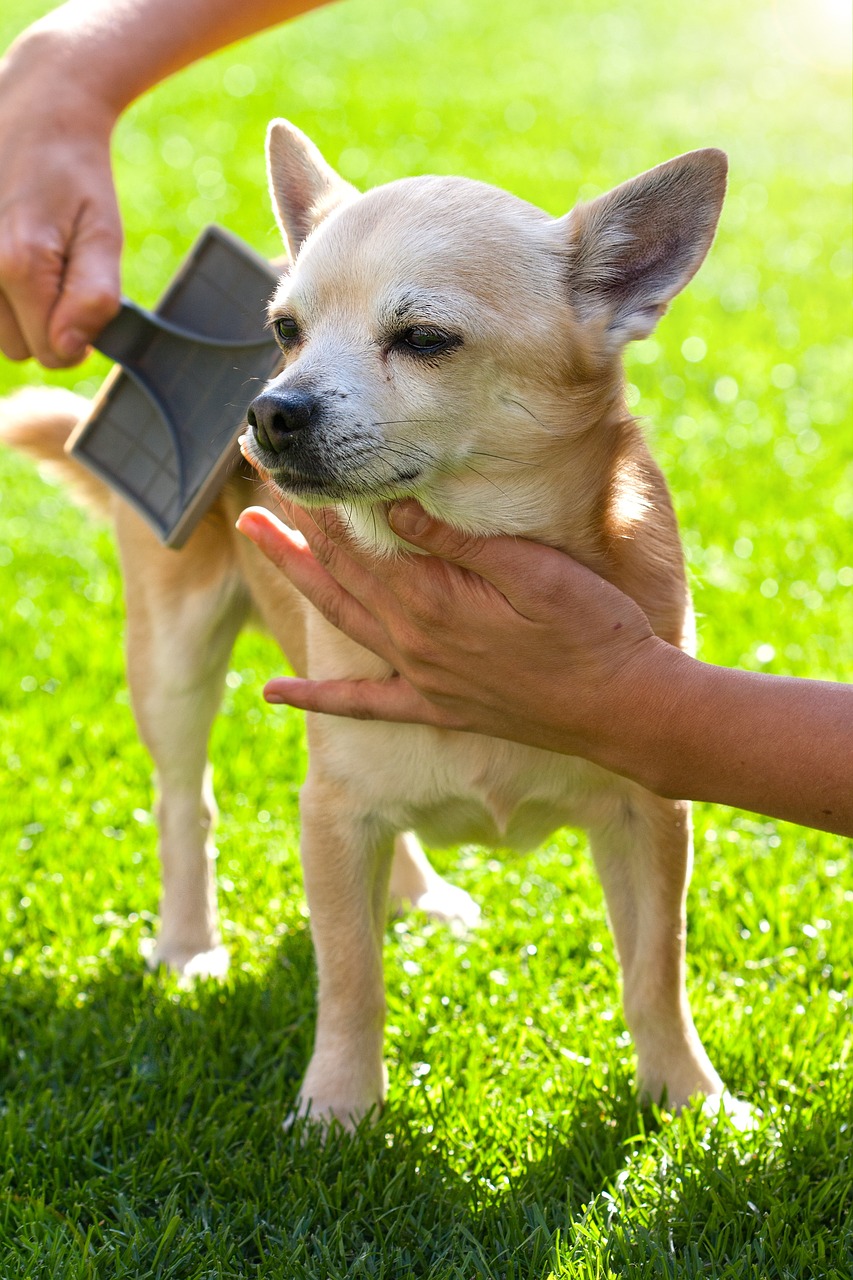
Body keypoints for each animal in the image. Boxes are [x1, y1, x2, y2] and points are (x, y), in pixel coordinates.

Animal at [0, 124, 732, 1131]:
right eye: (284, 332)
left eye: (424, 340)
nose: (267, 410)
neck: (453, 561)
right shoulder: (332, 817)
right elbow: (350, 977)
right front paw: (337, 1111)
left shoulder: (648, 815)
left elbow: (655, 971)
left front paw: (690, 1103)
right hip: (174, 657)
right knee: (185, 802)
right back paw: (187, 946)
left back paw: (416, 894)